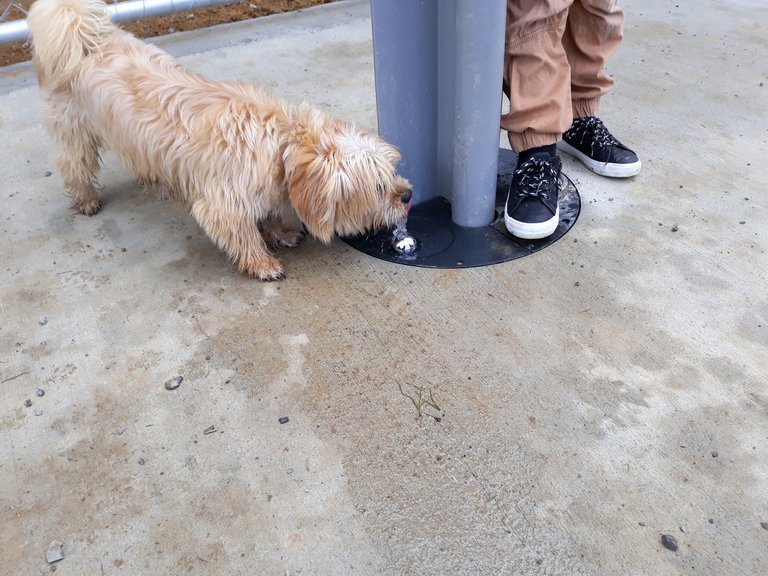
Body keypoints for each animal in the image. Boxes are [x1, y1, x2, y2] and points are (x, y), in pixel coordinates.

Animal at [27, 0, 414, 280]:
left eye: (393, 172)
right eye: (378, 186)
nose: (408, 195)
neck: (282, 143)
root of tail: (84, 36)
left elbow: (269, 214)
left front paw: (281, 232)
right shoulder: (224, 204)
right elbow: (243, 234)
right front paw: (262, 263)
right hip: (75, 133)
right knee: (73, 165)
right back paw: (86, 199)